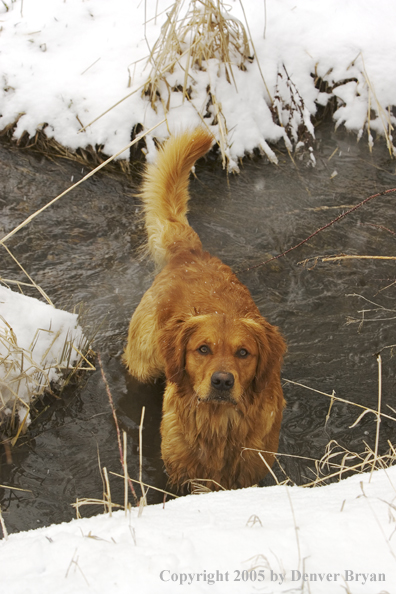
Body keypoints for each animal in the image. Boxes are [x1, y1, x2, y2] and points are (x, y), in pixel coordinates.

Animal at [124, 127, 284, 488]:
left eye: (244, 353)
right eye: (203, 349)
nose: (222, 381)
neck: (220, 425)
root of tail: (189, 252)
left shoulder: (252, 470)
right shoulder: (181, 476)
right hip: (143, 362)